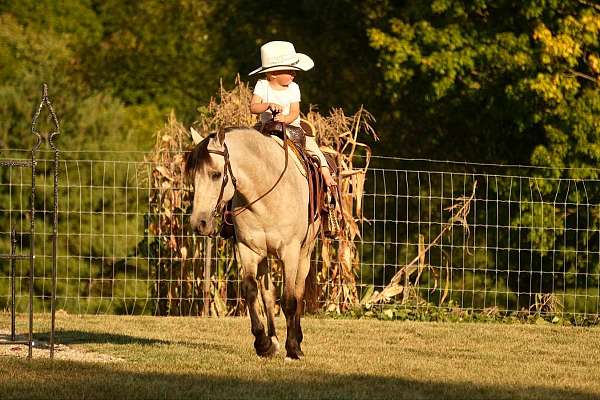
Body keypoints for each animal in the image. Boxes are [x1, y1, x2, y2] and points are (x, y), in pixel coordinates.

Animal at [185, 128, 318, 360]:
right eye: (193, 176)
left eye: (216, 174)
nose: (198, 223)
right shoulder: (247, 249)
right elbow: (251, 290)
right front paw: (263, 343)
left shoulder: (290, 252)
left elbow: (290, 300)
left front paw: (292, 348)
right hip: (264, 255)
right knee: (267, 294)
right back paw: (273, 340)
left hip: (305, 253)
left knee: (299, 293)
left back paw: (298, 342)